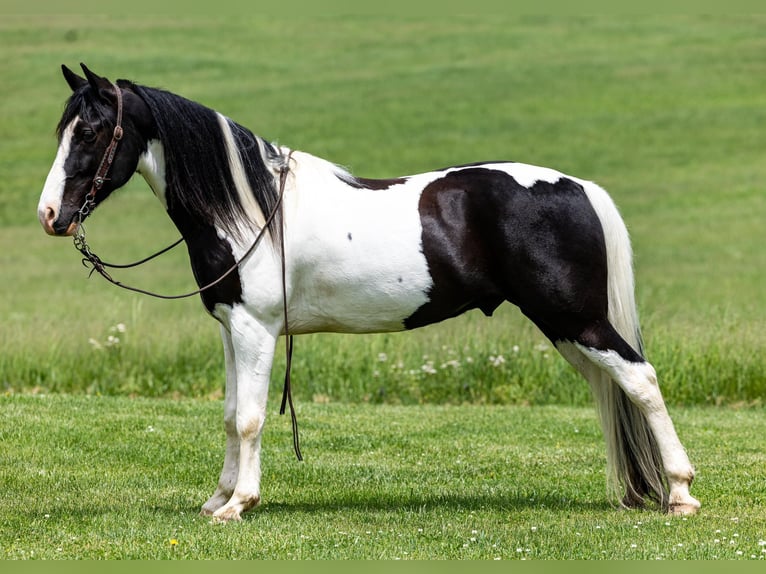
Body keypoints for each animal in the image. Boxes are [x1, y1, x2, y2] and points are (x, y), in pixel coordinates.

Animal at [37, 65, 704, 524]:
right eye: (62, 129)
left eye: (91, 131)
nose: (50, 215)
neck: (249, 209)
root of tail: (579, 186)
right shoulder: (232, 327)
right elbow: (229, 414)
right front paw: (217, 497)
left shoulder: (256, 330)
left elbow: (251, 418)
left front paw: (239, 504)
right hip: (566, 328)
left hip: (575, 319)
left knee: (641, 379)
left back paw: (680, 491)